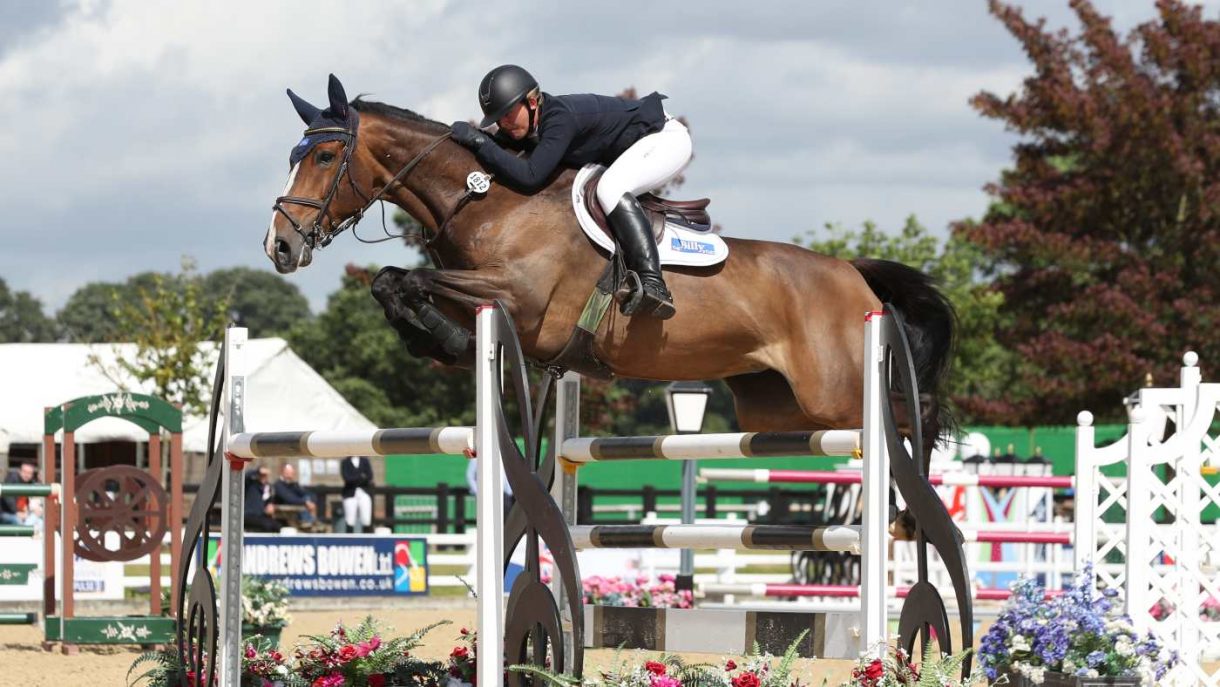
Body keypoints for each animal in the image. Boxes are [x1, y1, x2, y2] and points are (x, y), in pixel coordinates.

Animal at [264, 76, 956, 459]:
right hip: (777, 407)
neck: (487, 198)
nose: (280, 247)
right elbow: (394, 284)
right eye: (294, 156)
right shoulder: (484, 298)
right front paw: (442, 340)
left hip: (834, 391)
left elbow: (409, 280)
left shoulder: (520, 298)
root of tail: (850, 272)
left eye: (323, 156)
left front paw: (442, 335)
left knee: (909, 415)